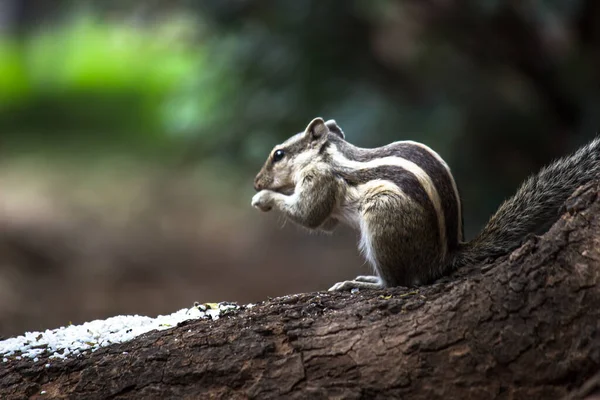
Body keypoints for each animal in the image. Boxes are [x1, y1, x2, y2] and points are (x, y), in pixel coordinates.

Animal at [251, 116, 596, 290]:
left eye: (279, 154)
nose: (256, 182)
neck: (330, 155)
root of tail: (444, 256)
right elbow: (323, 222)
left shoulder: (320, 179)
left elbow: (308, 215)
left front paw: (263, 198)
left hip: (383, 221)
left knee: (398, 284)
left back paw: (369, 283)